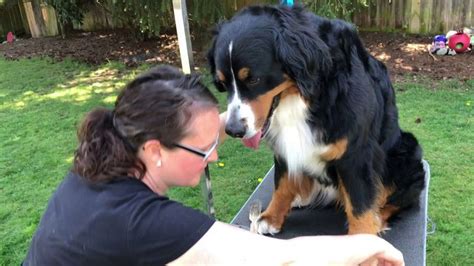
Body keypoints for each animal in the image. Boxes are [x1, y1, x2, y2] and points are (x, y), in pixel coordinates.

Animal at [207, 4, 426, 235]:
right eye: (221, 83)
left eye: (253, 79)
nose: (233, 130)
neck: (302, 96)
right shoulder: (285, 146)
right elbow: (282, 183)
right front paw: (271, 216)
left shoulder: (356, 154)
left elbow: (360, 203)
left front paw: (363, 235)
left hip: (406, 153)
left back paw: (379, 218)